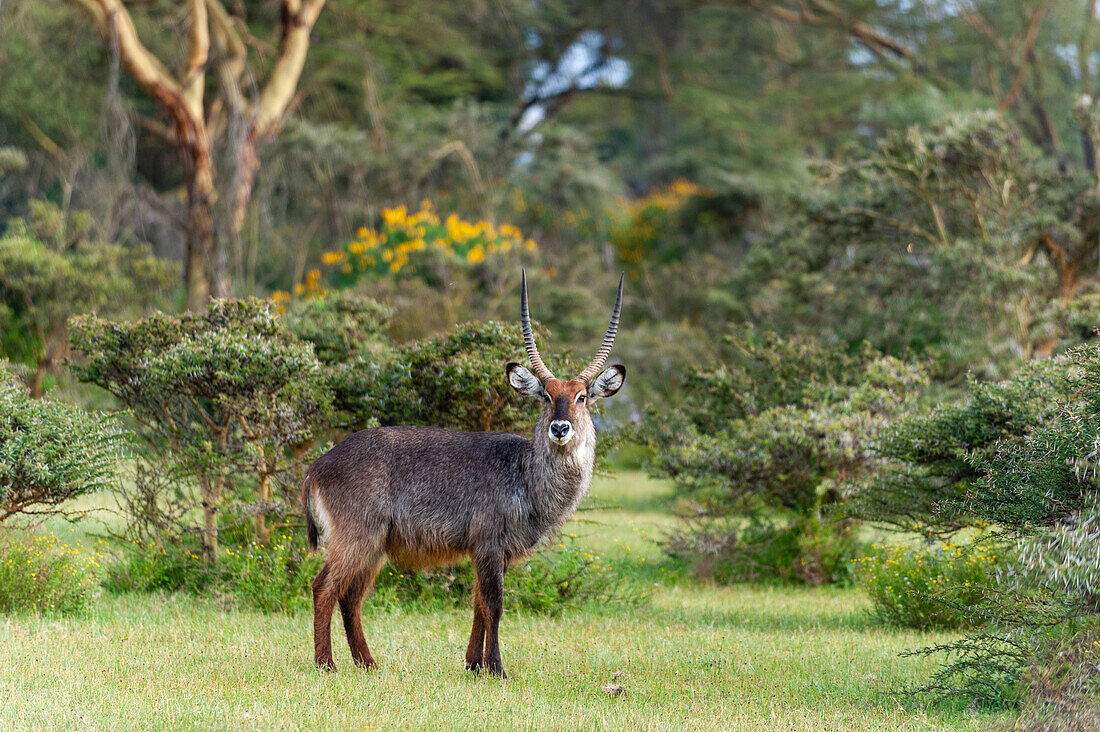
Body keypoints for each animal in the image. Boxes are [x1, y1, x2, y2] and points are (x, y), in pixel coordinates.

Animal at [301, 270, 629, 678]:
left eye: (582, 396)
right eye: (546, 396)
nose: (560, 428)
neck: (525, 474)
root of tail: (318, 465)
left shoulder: (492, 552)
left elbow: (477, 605)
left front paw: (474, 664)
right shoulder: (488, 544)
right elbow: (494, 605)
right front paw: (497, 669)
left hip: (374, 545)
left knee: (350, 597)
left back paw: (368, 663)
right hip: (356, 537)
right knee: (324, 588)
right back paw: (325, 664)